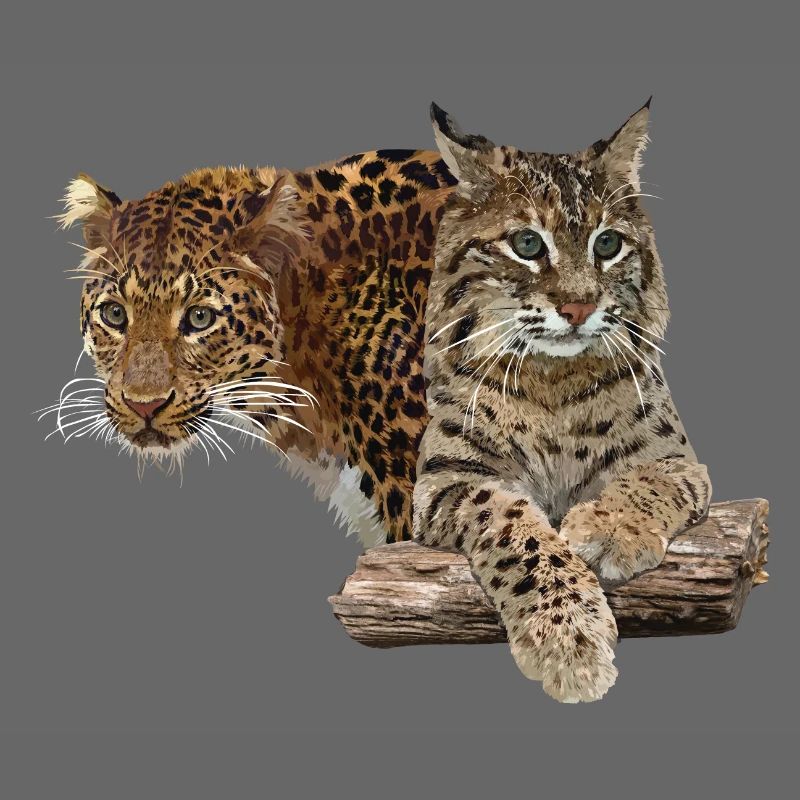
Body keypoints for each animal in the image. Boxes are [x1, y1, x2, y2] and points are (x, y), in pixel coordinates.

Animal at [412, 101, 711, 702]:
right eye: (528, 245)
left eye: (607, 245)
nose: (579, 308)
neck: (553, 377)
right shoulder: (445, 479)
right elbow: (512, 525)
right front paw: (568, 641)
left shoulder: (679, 461)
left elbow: (648, 480)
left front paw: (612, 528)